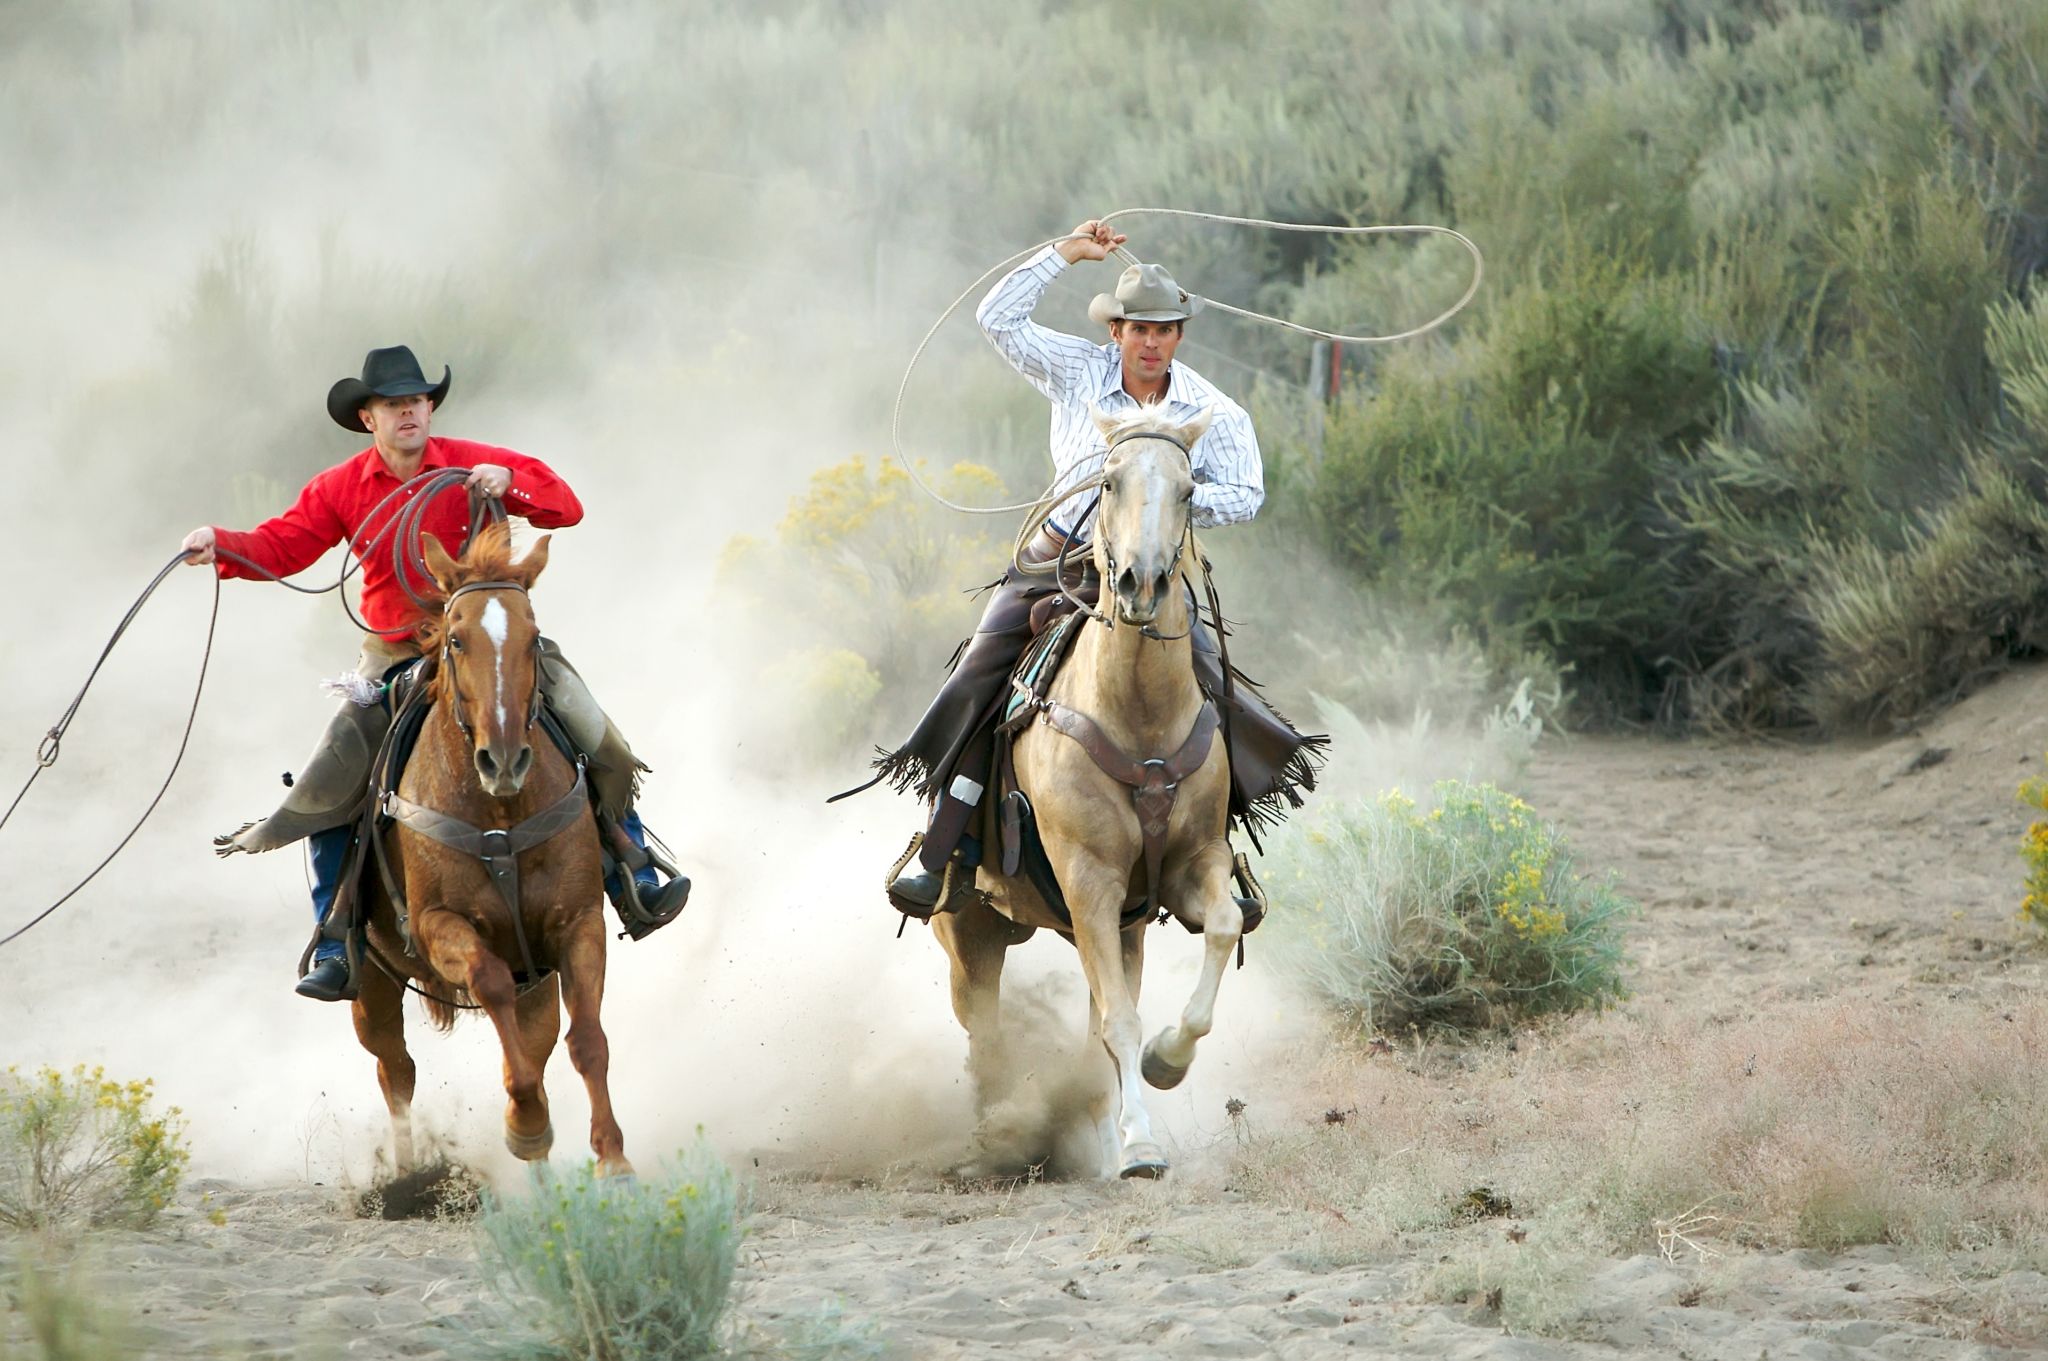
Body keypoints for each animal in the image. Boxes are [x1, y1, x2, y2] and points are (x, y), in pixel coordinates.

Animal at [352, 523, 626, 1170]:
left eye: (532, 639)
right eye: (456, 639)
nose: (503, 760)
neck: (500, 813)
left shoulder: (579, 922)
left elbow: (587, 1041)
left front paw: (614, 1159)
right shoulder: (438, 926)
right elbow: (492, 987)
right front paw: (525, 1124)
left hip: (538, 976)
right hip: (370, 983)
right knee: (394, 1067)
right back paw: (409, 1174)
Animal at [937, 405, 1236, 1178]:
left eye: (1190, 489)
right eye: (1107, 481)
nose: (1140, 583)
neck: (1139, 716)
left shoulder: (1192, 866)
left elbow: (1218, 934)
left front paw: (1165, 1064)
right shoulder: (1089, 880)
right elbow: (1117, 1019)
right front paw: (1139, 1147)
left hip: (1120, 926)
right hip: (970, 931)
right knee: (982, 1030)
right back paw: (993, 1140)